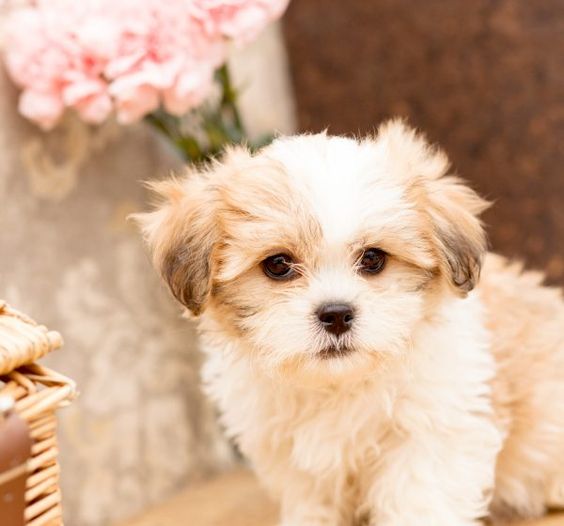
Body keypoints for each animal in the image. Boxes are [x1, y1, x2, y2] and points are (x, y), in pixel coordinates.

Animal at [133, 121, 564, 524]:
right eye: (278, 264)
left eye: (373, 259)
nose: (336, 314)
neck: (338, 384)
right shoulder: (295, 459)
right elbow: (313, 502)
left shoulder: (434, 430)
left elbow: (420, 497)